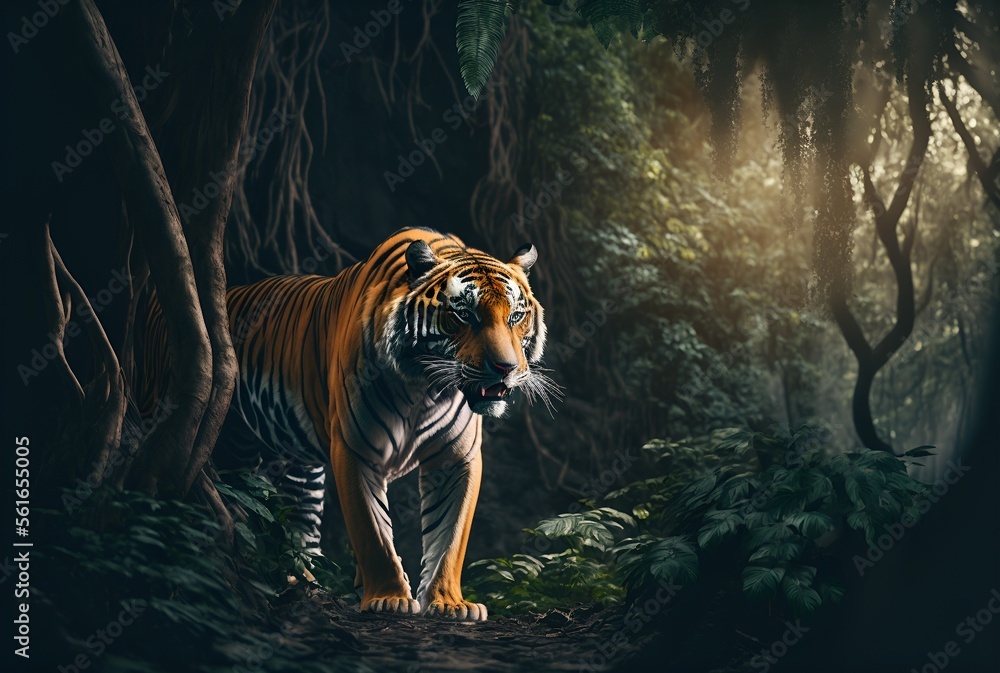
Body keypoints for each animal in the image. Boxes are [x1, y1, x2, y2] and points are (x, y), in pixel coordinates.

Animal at [138, 227, 556, 621]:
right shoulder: (356, 449)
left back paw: (304, 585)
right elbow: (373, 532)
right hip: (217, 446)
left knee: (300, 524)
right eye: (464, 315)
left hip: (298, 466)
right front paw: (389, 598)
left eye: (516, 317)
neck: (426, 390)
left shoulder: (457, 459)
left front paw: (449, 603)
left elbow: (450, 536)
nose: (505, 368)